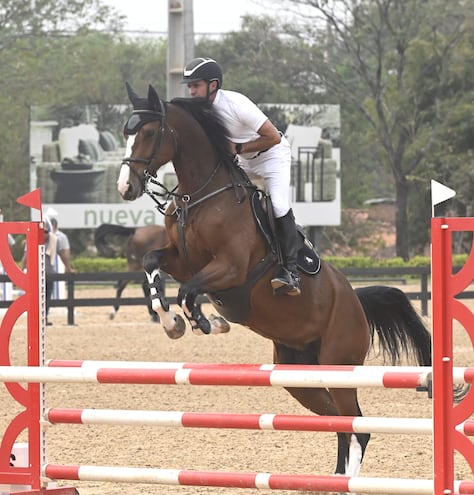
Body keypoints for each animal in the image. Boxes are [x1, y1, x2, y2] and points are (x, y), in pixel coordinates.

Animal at [115, 84, 434, 484]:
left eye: (147, 132)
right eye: (125, 133)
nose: (125, 187)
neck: (199, 195)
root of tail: (356, 302)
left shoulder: (230, 268)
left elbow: (190, 292)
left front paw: (208, 322)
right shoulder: (182, 260)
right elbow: (152, 265)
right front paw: (172, 322)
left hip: (338, 364)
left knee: (358, 427)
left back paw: (349, 481)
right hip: (299, 376)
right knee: (339, 423)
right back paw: (334, 480)